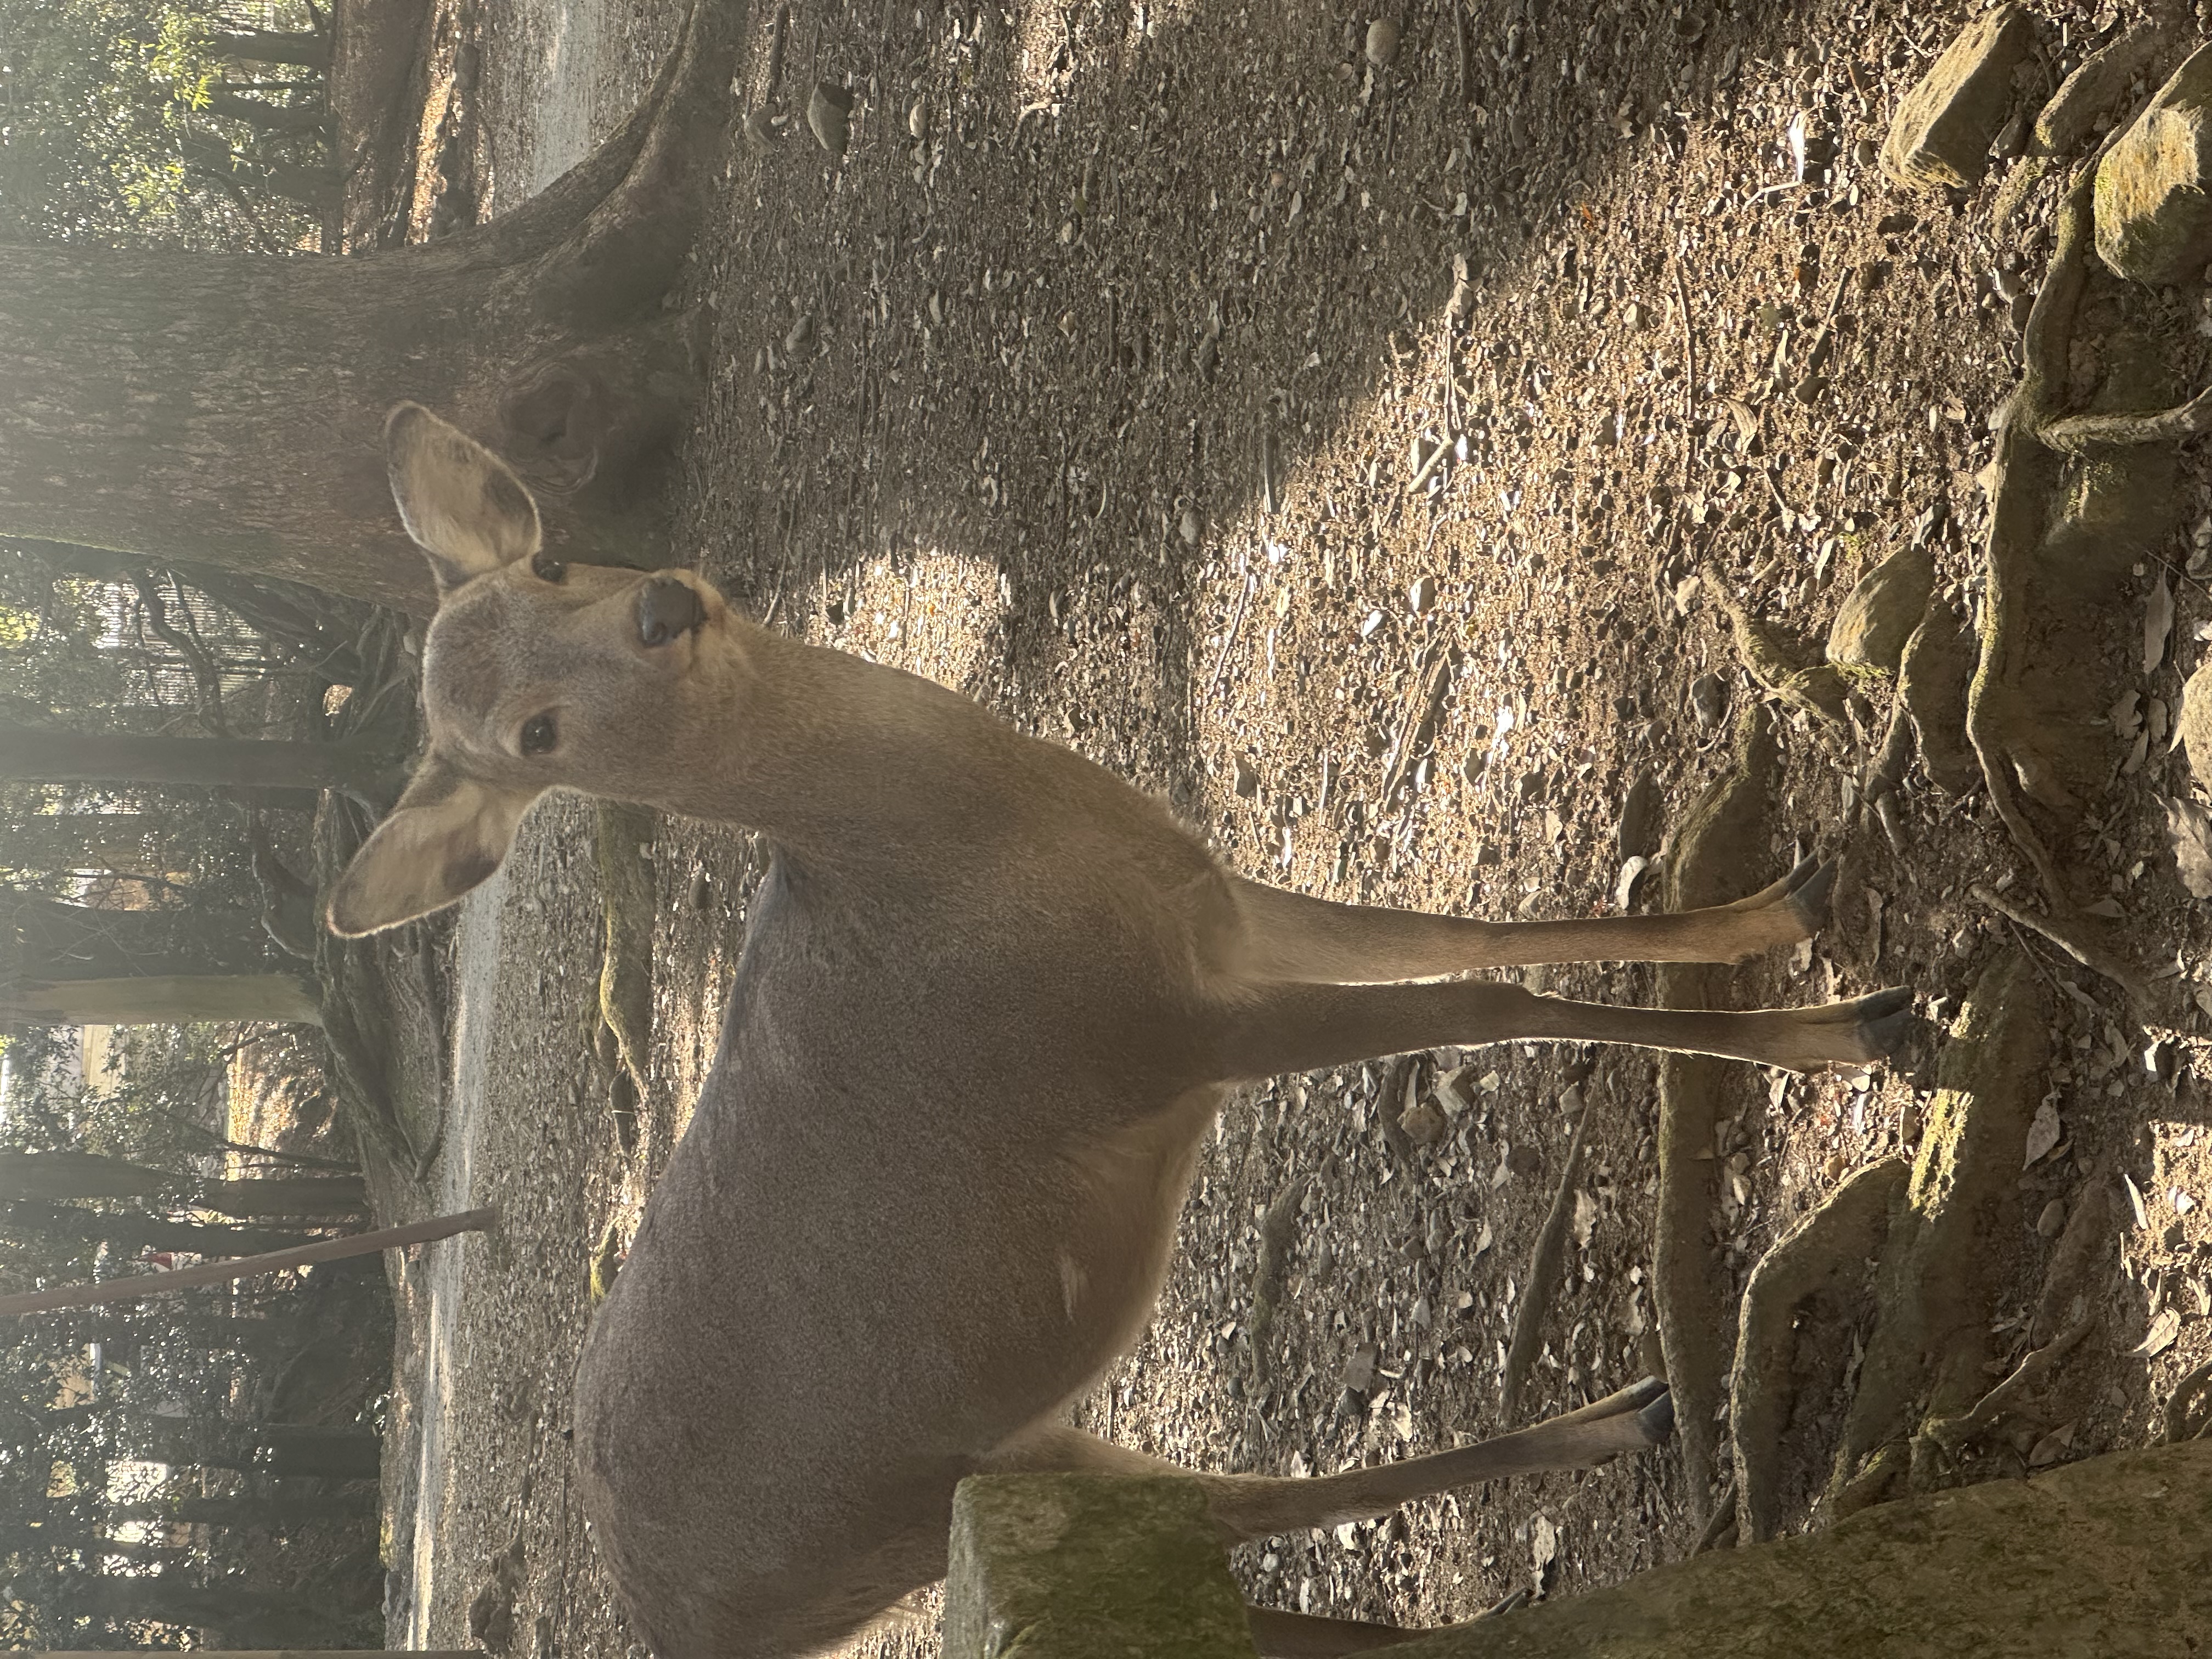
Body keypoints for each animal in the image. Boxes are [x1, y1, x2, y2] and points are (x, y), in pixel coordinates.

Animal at [330, 403, 1910, 1658]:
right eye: (533, 738)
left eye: (549, 564)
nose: (663, 606)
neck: (997, 856)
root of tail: (669, 1624)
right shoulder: (1142, 1041)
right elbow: (1485, 1002)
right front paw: (1855, 1028)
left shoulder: (1216, 914)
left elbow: (1472, 937)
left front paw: (1779, 908)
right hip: (918, 1505)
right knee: (1252, 1508)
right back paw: (1628, 1429)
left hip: (1011, 1460)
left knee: (1238, 1547)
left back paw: (1626, 1428)